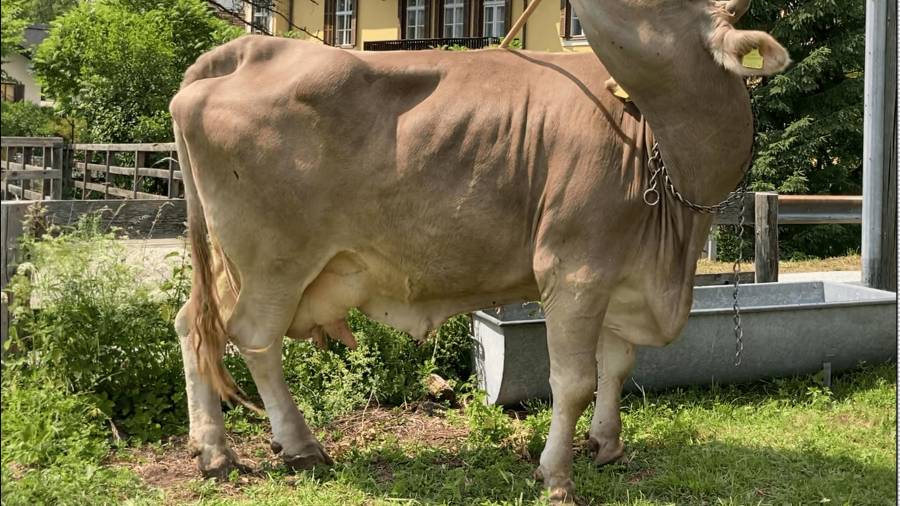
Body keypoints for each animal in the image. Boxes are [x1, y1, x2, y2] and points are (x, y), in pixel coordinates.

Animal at [170, 0, 788, 500]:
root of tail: (245, 49)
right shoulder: (574, 268)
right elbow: (573, 381)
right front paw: (556, 475)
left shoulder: (624, 273)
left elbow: (616, 365)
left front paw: (607, 445)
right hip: (274, 260)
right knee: (254, 338)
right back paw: (297, 444)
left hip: (235, 263)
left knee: (195, 327)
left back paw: (214, 450)